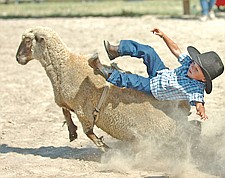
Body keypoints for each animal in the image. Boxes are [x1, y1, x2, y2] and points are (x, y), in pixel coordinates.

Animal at [16, 26, 193, 152]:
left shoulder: (83, 111)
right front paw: (72, 132)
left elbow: (89, 132)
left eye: (28, 41)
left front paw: (106, 149)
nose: (18, 58)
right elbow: (65, 111)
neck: (64, 65)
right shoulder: (69, 103)